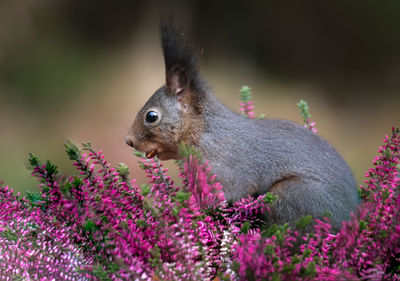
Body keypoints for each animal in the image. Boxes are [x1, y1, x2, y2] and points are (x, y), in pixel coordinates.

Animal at [125, 19, 360, 230]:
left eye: (151, 116)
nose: (129, 141)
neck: (203, 130)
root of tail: (351, 217)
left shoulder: (223, 170)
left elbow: (225, 195)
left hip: (292, 195)